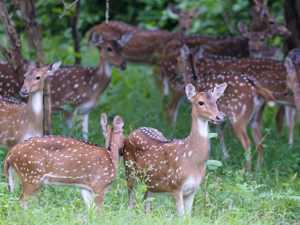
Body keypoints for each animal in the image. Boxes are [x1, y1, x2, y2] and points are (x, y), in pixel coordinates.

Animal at [123, 82, 226, 214]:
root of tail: (133, 132)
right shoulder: (175, 185)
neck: (192, 159)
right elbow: (181, 216)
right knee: (130, 202)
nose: (219, 117)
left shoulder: (192, 189)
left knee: (145, 199)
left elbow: (188, 216)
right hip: (129, 170)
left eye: (216, 101)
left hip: (153, 183)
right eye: (201, 102)